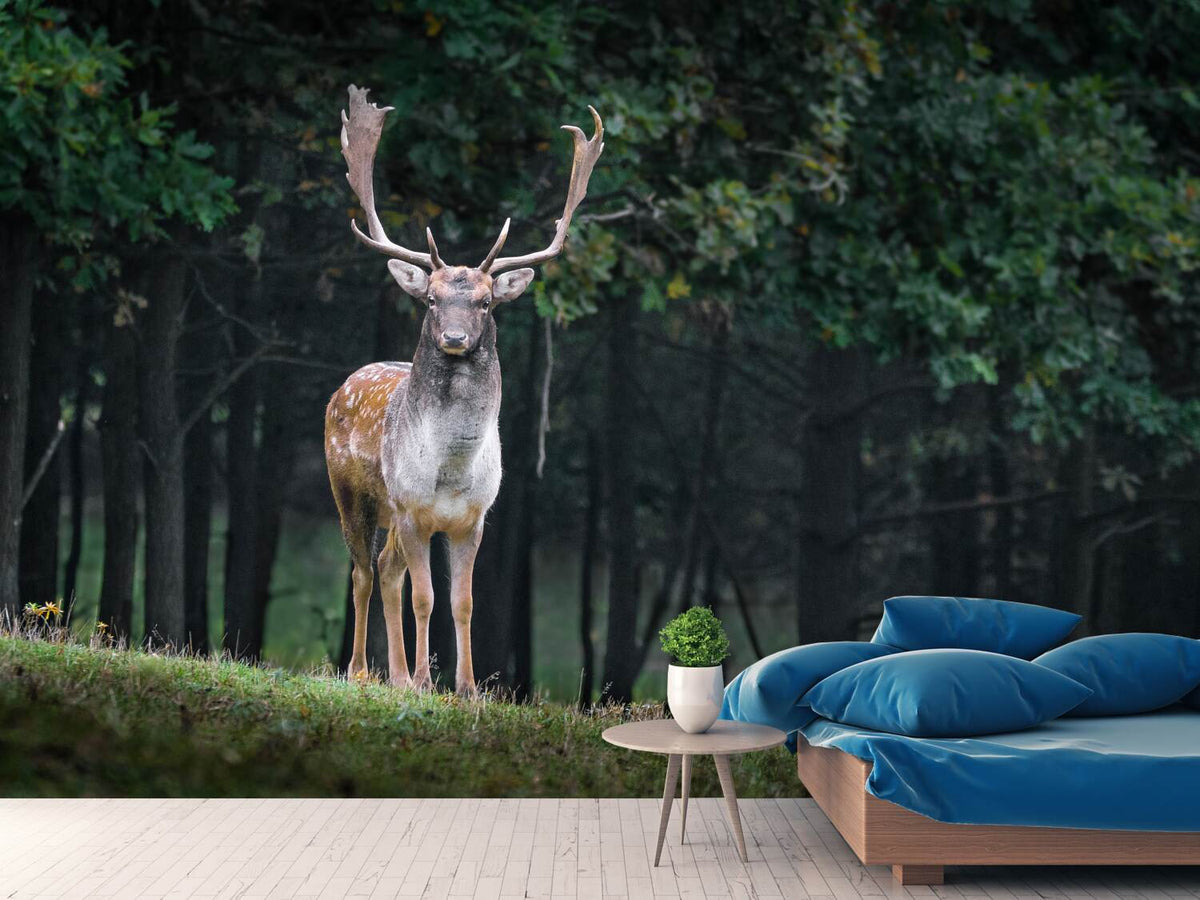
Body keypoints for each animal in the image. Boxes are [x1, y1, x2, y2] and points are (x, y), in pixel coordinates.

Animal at [325, 85, 604, 695]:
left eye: (485, 302)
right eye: (431, 298)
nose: (454, 337)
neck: (450, 470)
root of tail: (344, 385)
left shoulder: (474, 518)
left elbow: (463, 602)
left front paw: (467, 687)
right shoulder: (412, 510)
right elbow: (425, 598)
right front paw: (426, 681)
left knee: (385, 571)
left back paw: (395, 675)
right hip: (351, 492)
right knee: (362, 572)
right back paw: (362, 671)